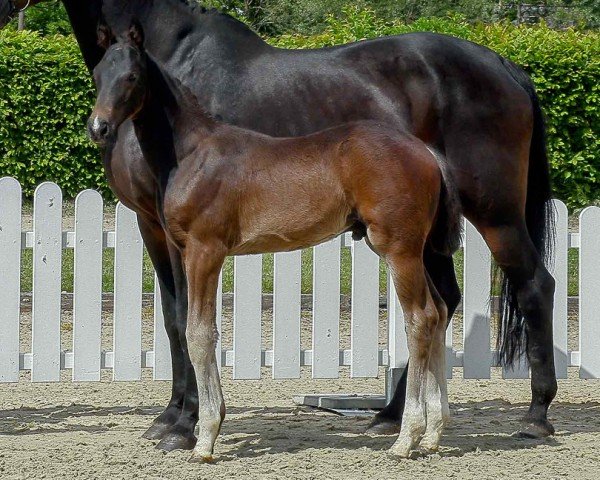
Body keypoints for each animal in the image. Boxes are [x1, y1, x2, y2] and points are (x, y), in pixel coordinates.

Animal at [89, 25, 462, 462]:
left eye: (131, 77)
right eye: (98, 74)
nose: (98, 128)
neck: (192, 152)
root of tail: (426, 151)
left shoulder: (205, 250)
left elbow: (200, 333)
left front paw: (205, 438)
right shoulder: (183, 251)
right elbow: (189, 328)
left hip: (399, 248)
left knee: (420, 318)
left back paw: (406, 437)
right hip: (415, 251)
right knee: (439, 311)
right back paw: (433, 433)